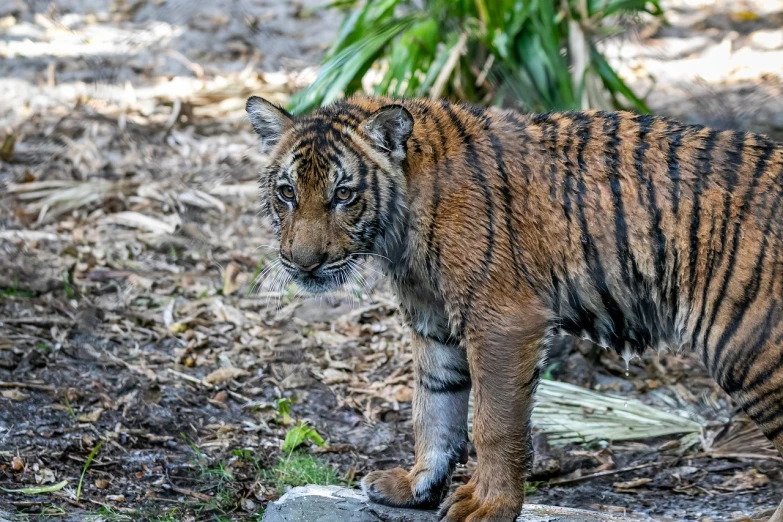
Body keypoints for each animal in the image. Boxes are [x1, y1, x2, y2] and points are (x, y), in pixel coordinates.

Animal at [245, 94, 783, 520]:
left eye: (343, 194)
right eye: (287, 192)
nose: (303, 263)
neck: (398, 231)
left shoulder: (501, 319)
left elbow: (493, 424)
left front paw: (489, 506)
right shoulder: (434, 322)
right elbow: (433, 409)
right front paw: (416, 487)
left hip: (749, 350)